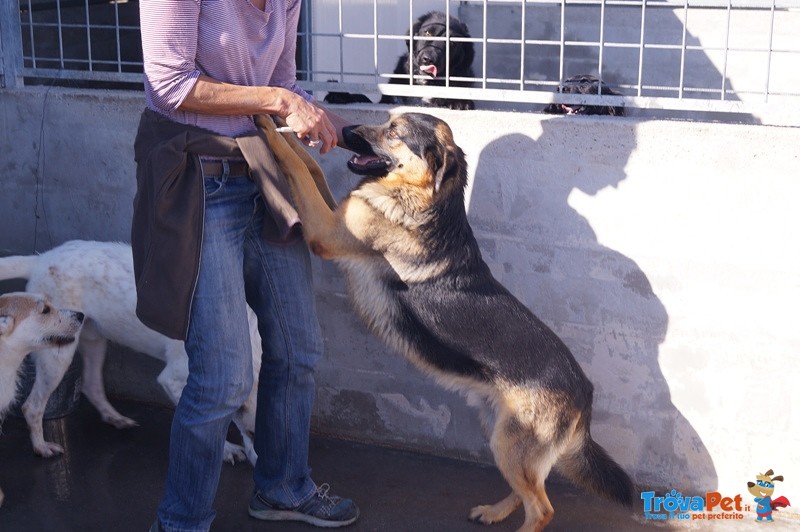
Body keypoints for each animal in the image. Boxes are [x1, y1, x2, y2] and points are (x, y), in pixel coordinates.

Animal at [0, 241, 260, 466]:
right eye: (252, 432)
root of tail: (42, 258)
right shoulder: (176, 380)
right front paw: (226, 450)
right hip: (57, 353)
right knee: (32, 406)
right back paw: (41, 447)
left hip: (94, 340)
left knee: (91, 385)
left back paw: (114, 417)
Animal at [260, 114, 632, 528]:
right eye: (386, 120)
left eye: (393, 132)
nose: (345, 131)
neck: (424, 196)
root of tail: (586, 390)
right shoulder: (336, 217)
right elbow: (308, 166)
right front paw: (285, 124)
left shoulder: (326, 233)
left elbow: (297, 169)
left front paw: (267, 126)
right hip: (502, 436)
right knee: (529, 490)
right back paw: (494, 511)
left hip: (510, 443)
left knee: (542, 508)